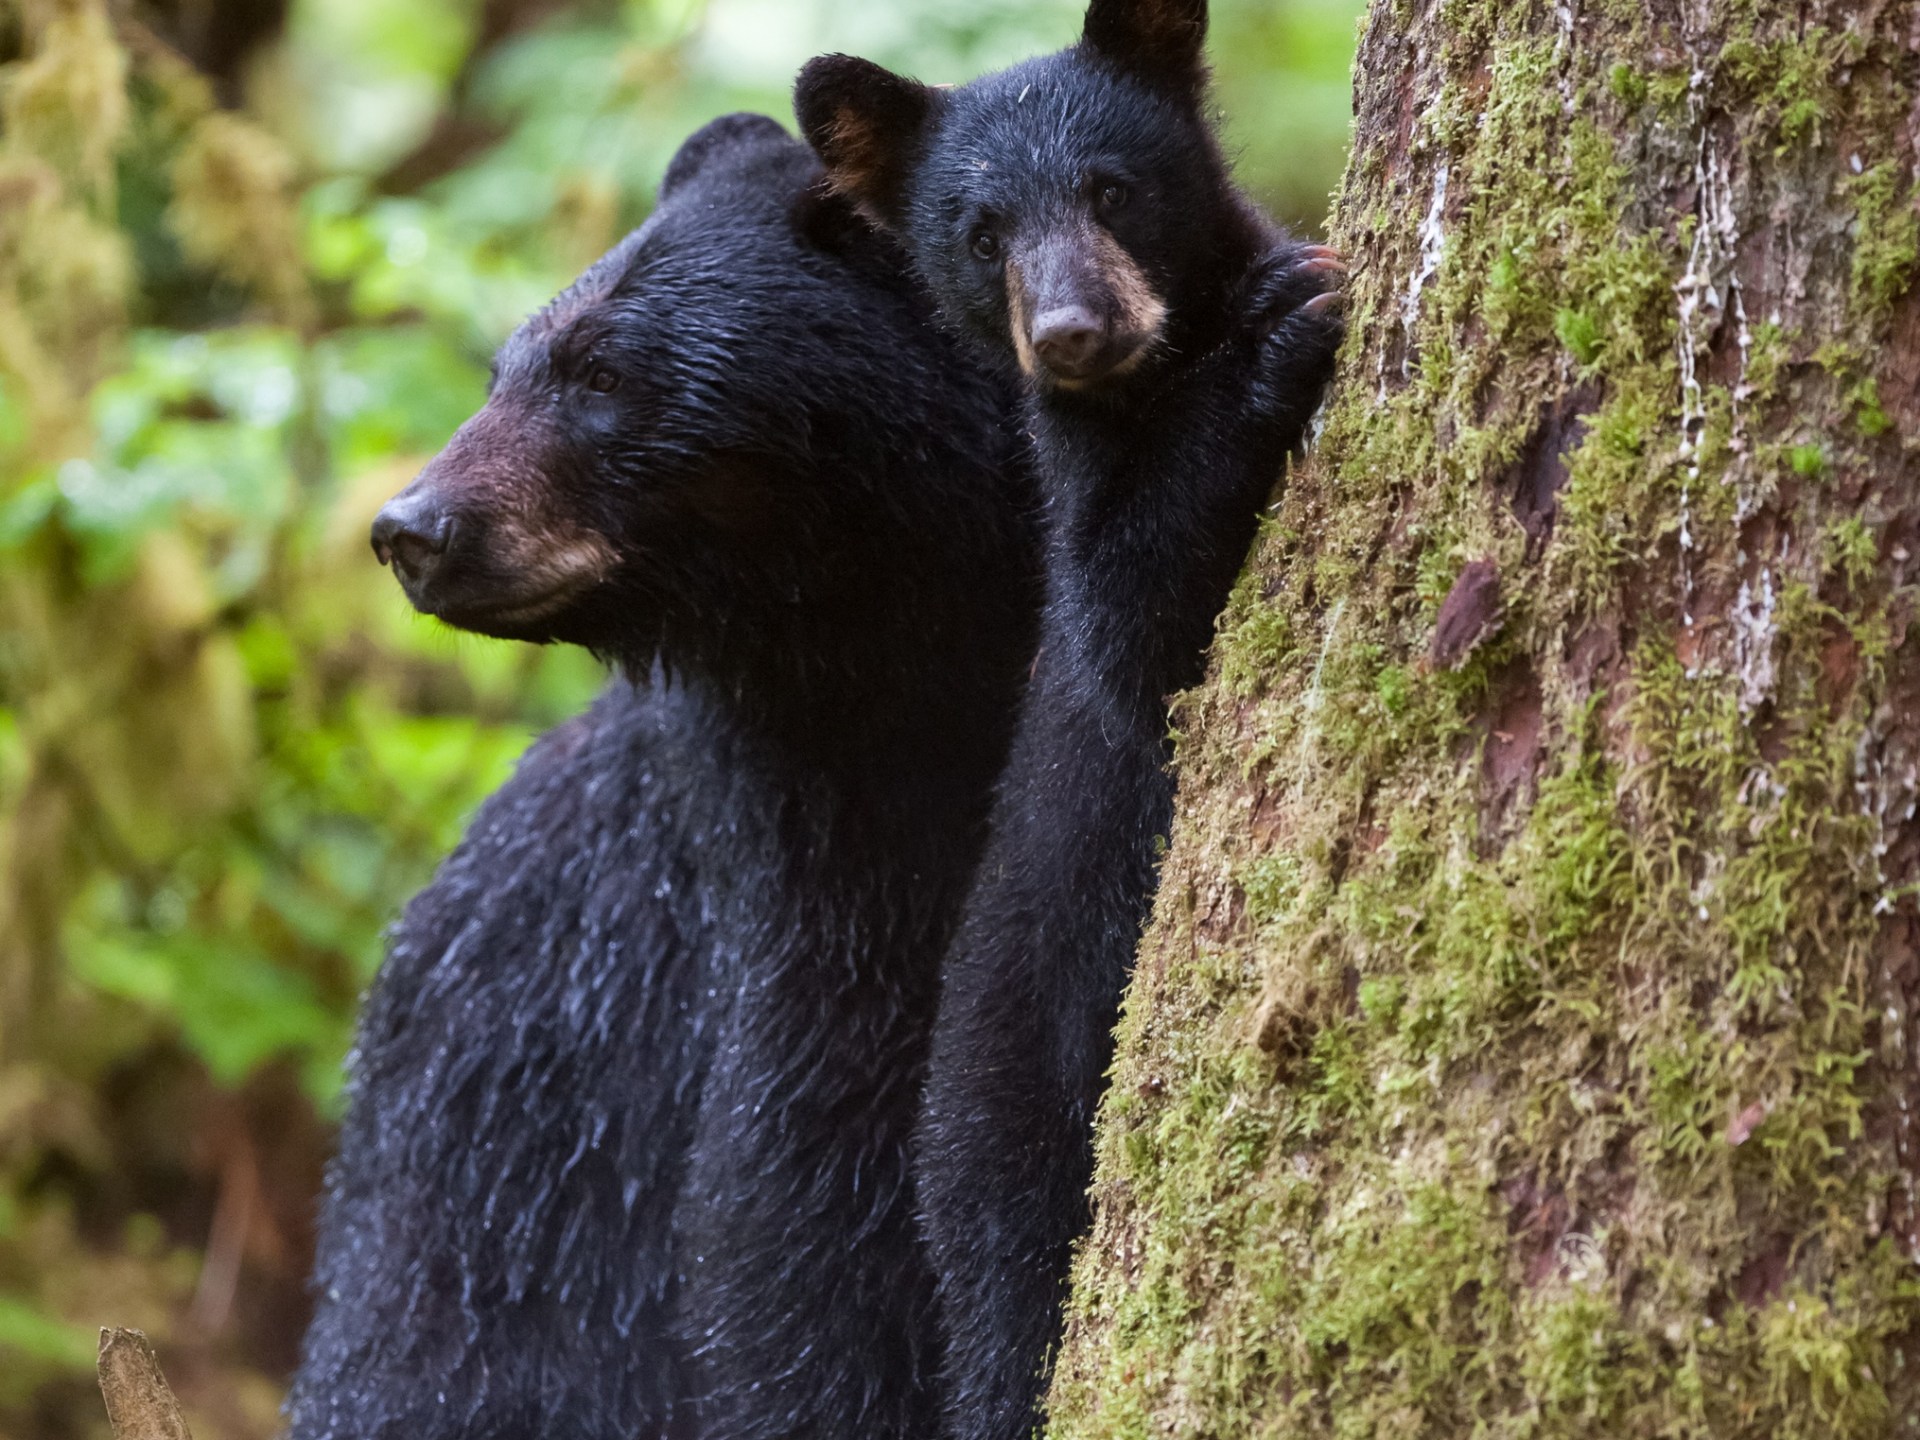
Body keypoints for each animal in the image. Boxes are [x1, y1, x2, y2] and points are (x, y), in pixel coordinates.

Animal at [802, 5, 1344, 1436]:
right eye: (978, 231)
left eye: (1111, 188)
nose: (1071, 331)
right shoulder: (1087, 540)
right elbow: (1138, 635)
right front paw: (1283, 326)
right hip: (1008, 1141)